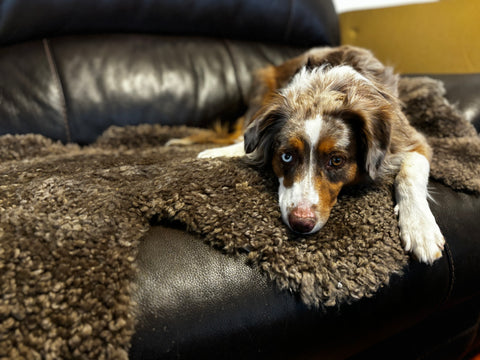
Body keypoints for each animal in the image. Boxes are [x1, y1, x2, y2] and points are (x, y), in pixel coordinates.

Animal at [169, 45, 446, 264]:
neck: (325, 90)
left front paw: (420, 228)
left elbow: (410, 172)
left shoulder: (410, 138)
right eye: (287, 156)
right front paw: (215, 153)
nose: (301, 223)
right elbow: (252, 141)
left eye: (336, 161)